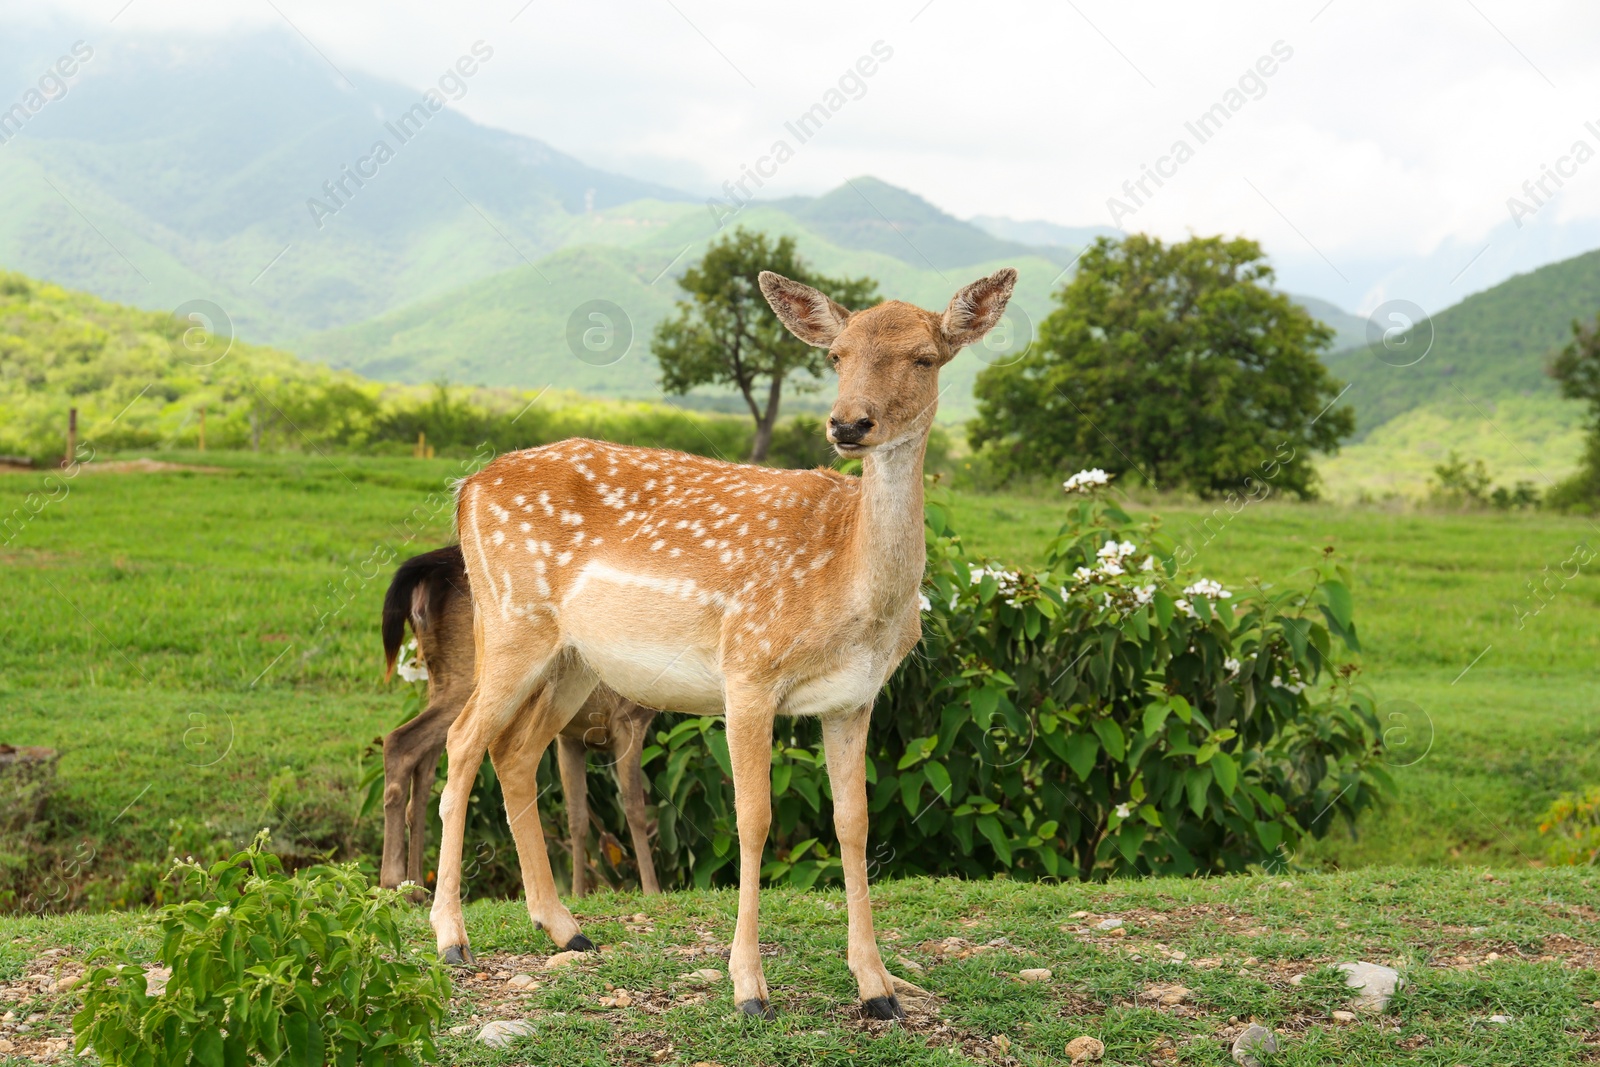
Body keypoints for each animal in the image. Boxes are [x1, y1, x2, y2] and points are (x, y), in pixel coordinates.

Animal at [377, 547, 659, 908]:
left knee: (425, 770)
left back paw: (415, 890)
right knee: (400, 742)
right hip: (471, 678)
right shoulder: (629, 719)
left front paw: (578, 893)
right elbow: (634, 807)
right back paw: (393, 883)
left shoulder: (571, 736)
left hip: (437, 678)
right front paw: (651, 889)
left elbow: (577, 817)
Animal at [432, 265, 1017, 1017]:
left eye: (924, 357)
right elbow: (754, 818)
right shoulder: (748, 667)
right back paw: (451, 937)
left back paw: (565, 928)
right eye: (836, 356)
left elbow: (854, 822)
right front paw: (748, 987)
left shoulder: (854, 698)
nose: (848, 423)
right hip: (510, 618)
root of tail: (467, 486)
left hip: (575, 660)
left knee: (514, 750)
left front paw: (877, 986)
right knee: (462, 740)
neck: (853, 590)